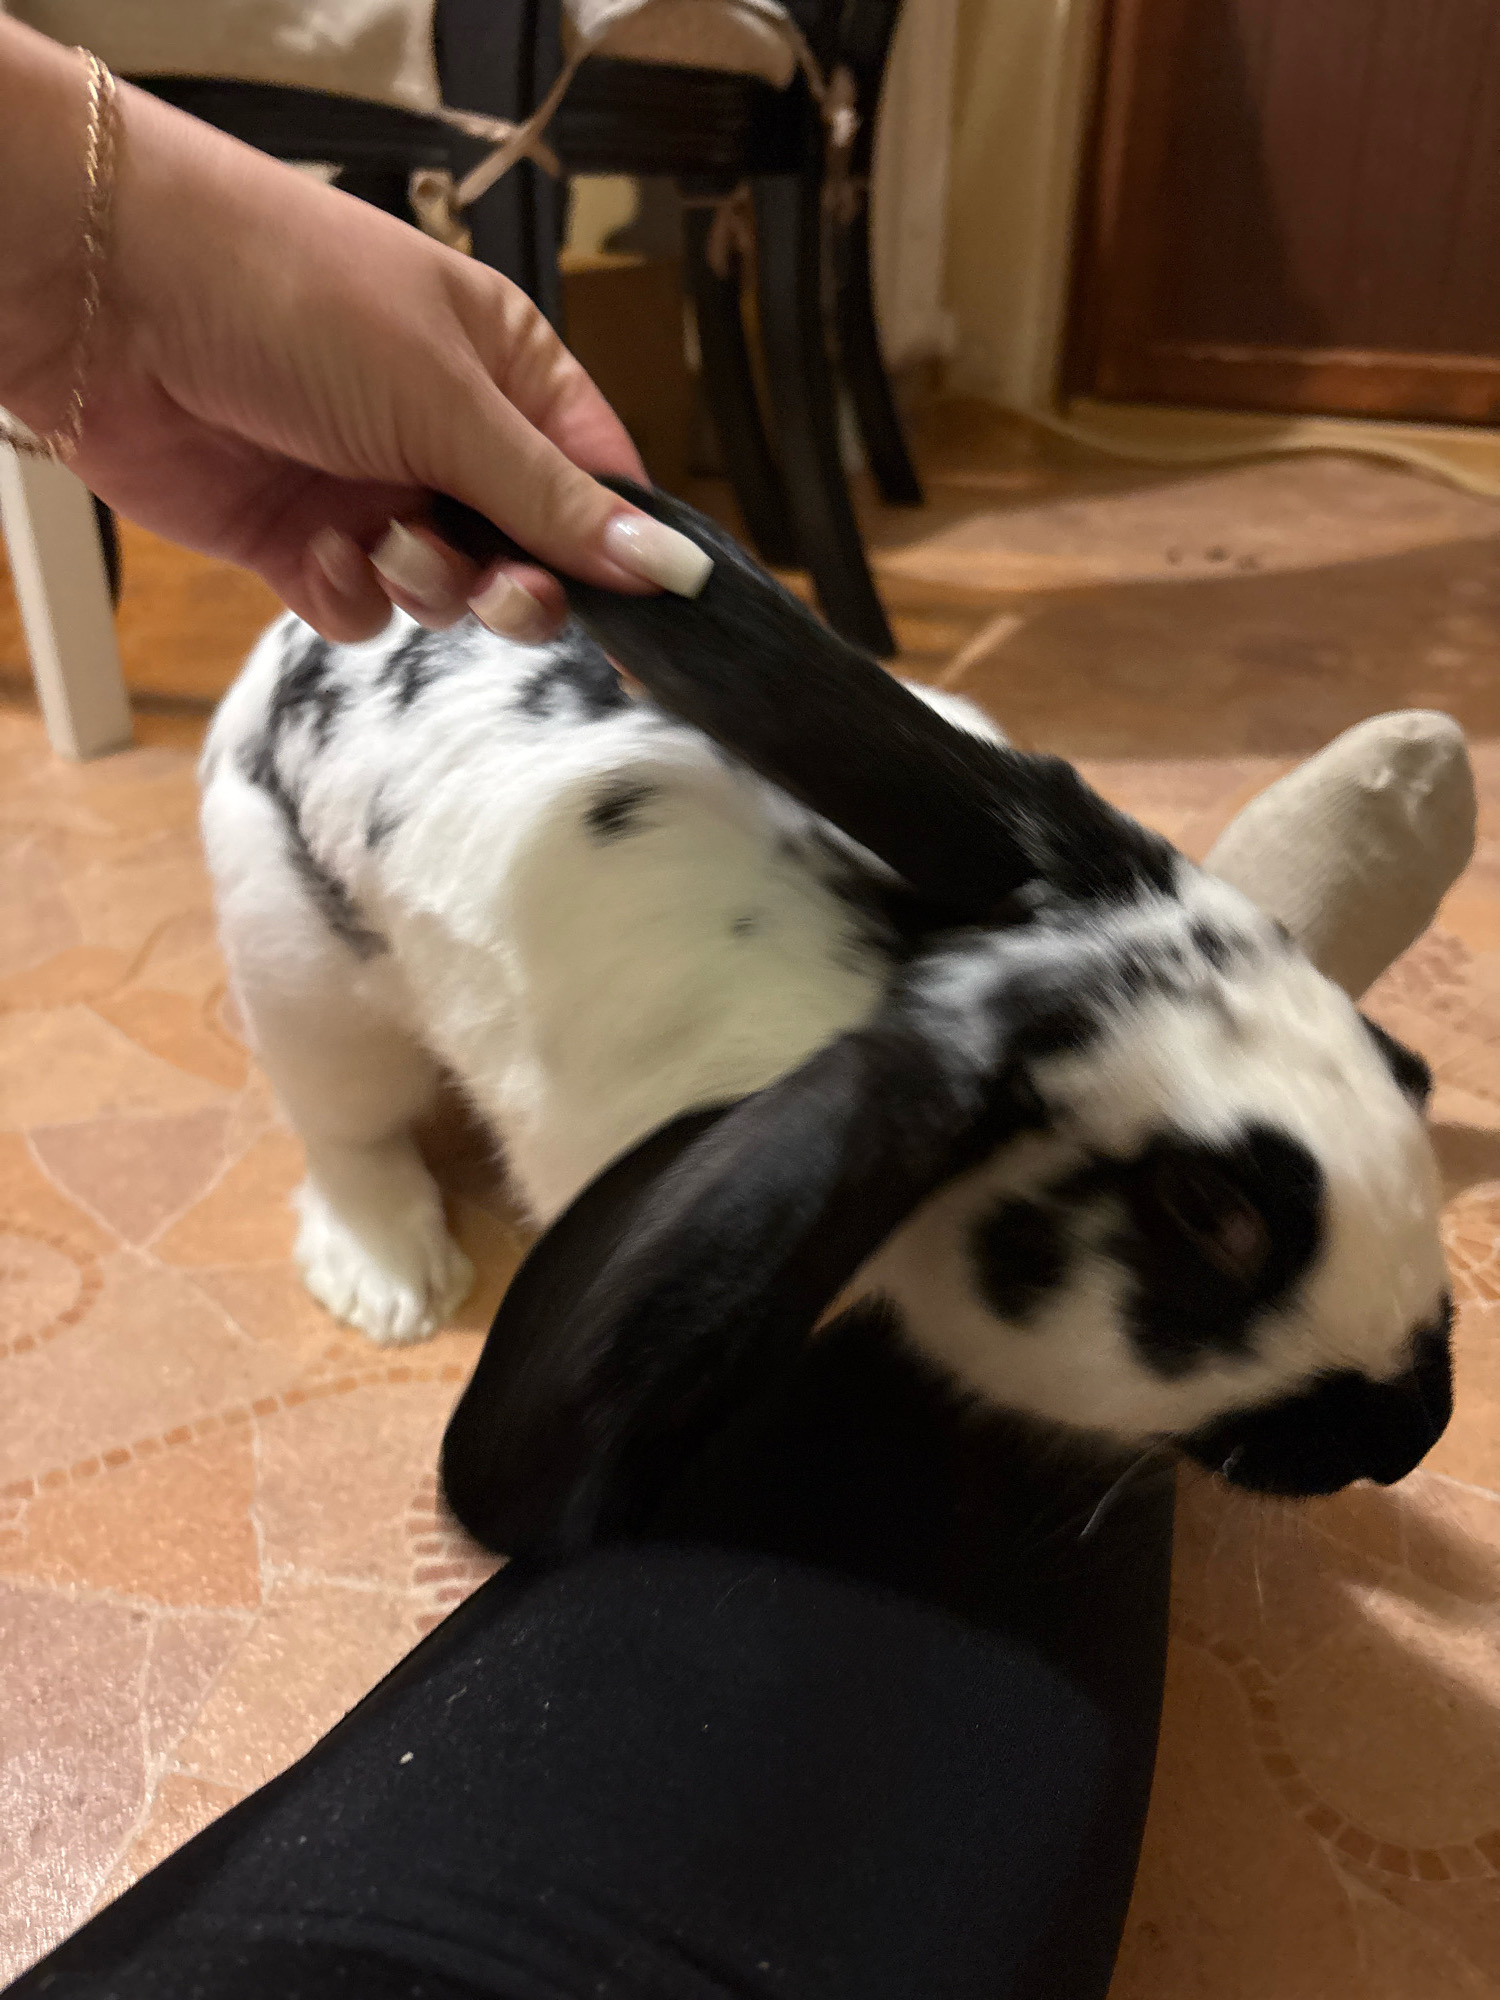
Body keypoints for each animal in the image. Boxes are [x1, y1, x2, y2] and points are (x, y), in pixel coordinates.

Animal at [200, 484, 1453, 1533]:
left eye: (1410, 1077)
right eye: (1208, 1213)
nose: (1417, 1435)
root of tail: (284, 645)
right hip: (302, 974)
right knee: (346, 1129)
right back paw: (392, 1282)